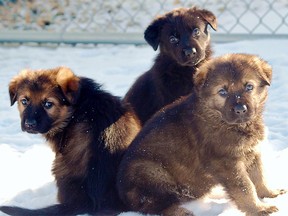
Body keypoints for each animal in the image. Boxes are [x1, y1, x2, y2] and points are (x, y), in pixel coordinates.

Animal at [117, 54, 286, 216]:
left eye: (249, 87)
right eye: (222, 92)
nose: (240, 109)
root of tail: (122, 195)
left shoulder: (252, 152)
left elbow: (259, 175)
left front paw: (269, 193)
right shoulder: (227, 162)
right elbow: (245, 187)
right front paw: (258, 209)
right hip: (152, 173)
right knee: (154, 206)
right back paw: (181, 212)